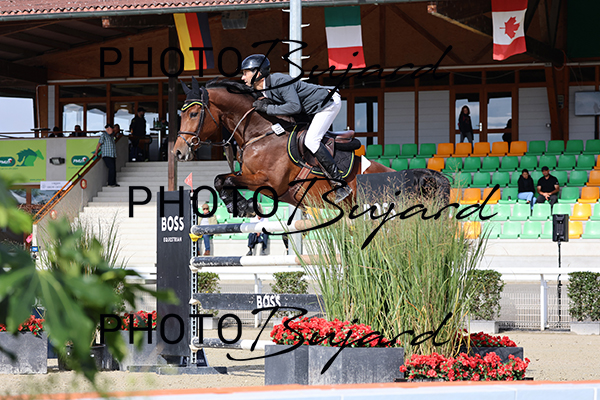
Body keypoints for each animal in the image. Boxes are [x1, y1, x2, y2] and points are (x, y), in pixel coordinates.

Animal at [173, 77, 448, 217]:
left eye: (195, 113)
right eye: (180, 113)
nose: (178, 152)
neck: (261, 133)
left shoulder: (271, 182)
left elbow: (226, 179)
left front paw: (242, 206)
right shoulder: (252, 176)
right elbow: (222, 179)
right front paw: (240, 206)